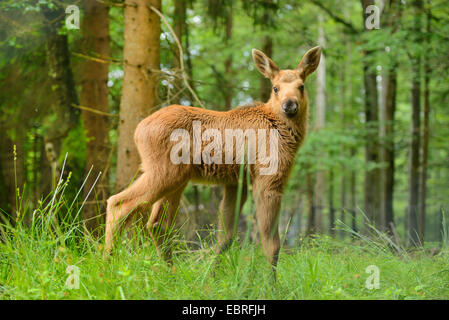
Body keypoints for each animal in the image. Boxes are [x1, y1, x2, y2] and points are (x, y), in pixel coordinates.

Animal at [105, 45, 322, 278]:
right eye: (275, 88)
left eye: (301, 86)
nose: (289, 105)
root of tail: (138, 131)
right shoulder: (268, 178)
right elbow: (271, 243)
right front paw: (271, 283)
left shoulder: (236, 182)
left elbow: (225, 237)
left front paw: (211, 276)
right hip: (165, 172)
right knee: (120, 204)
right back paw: (106, 263)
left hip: (175, 178)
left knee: (157, 224)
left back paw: (171, 273)